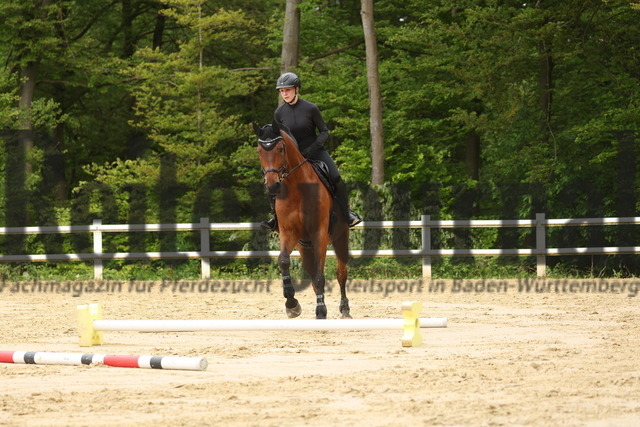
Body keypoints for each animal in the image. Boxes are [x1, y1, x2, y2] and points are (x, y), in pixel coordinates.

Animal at [254, 122, 352, 320]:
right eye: (259, 151)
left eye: (281, 148)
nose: (272, 186)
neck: (297, 189)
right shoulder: (288, 233)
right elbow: (284, 261)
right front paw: (292, 304)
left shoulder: (319, 234)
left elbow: (321, 276)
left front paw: (321, 311)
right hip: (304, 247)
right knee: (313, 276)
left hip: (340, 238)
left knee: (341, 273)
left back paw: (345, 309)